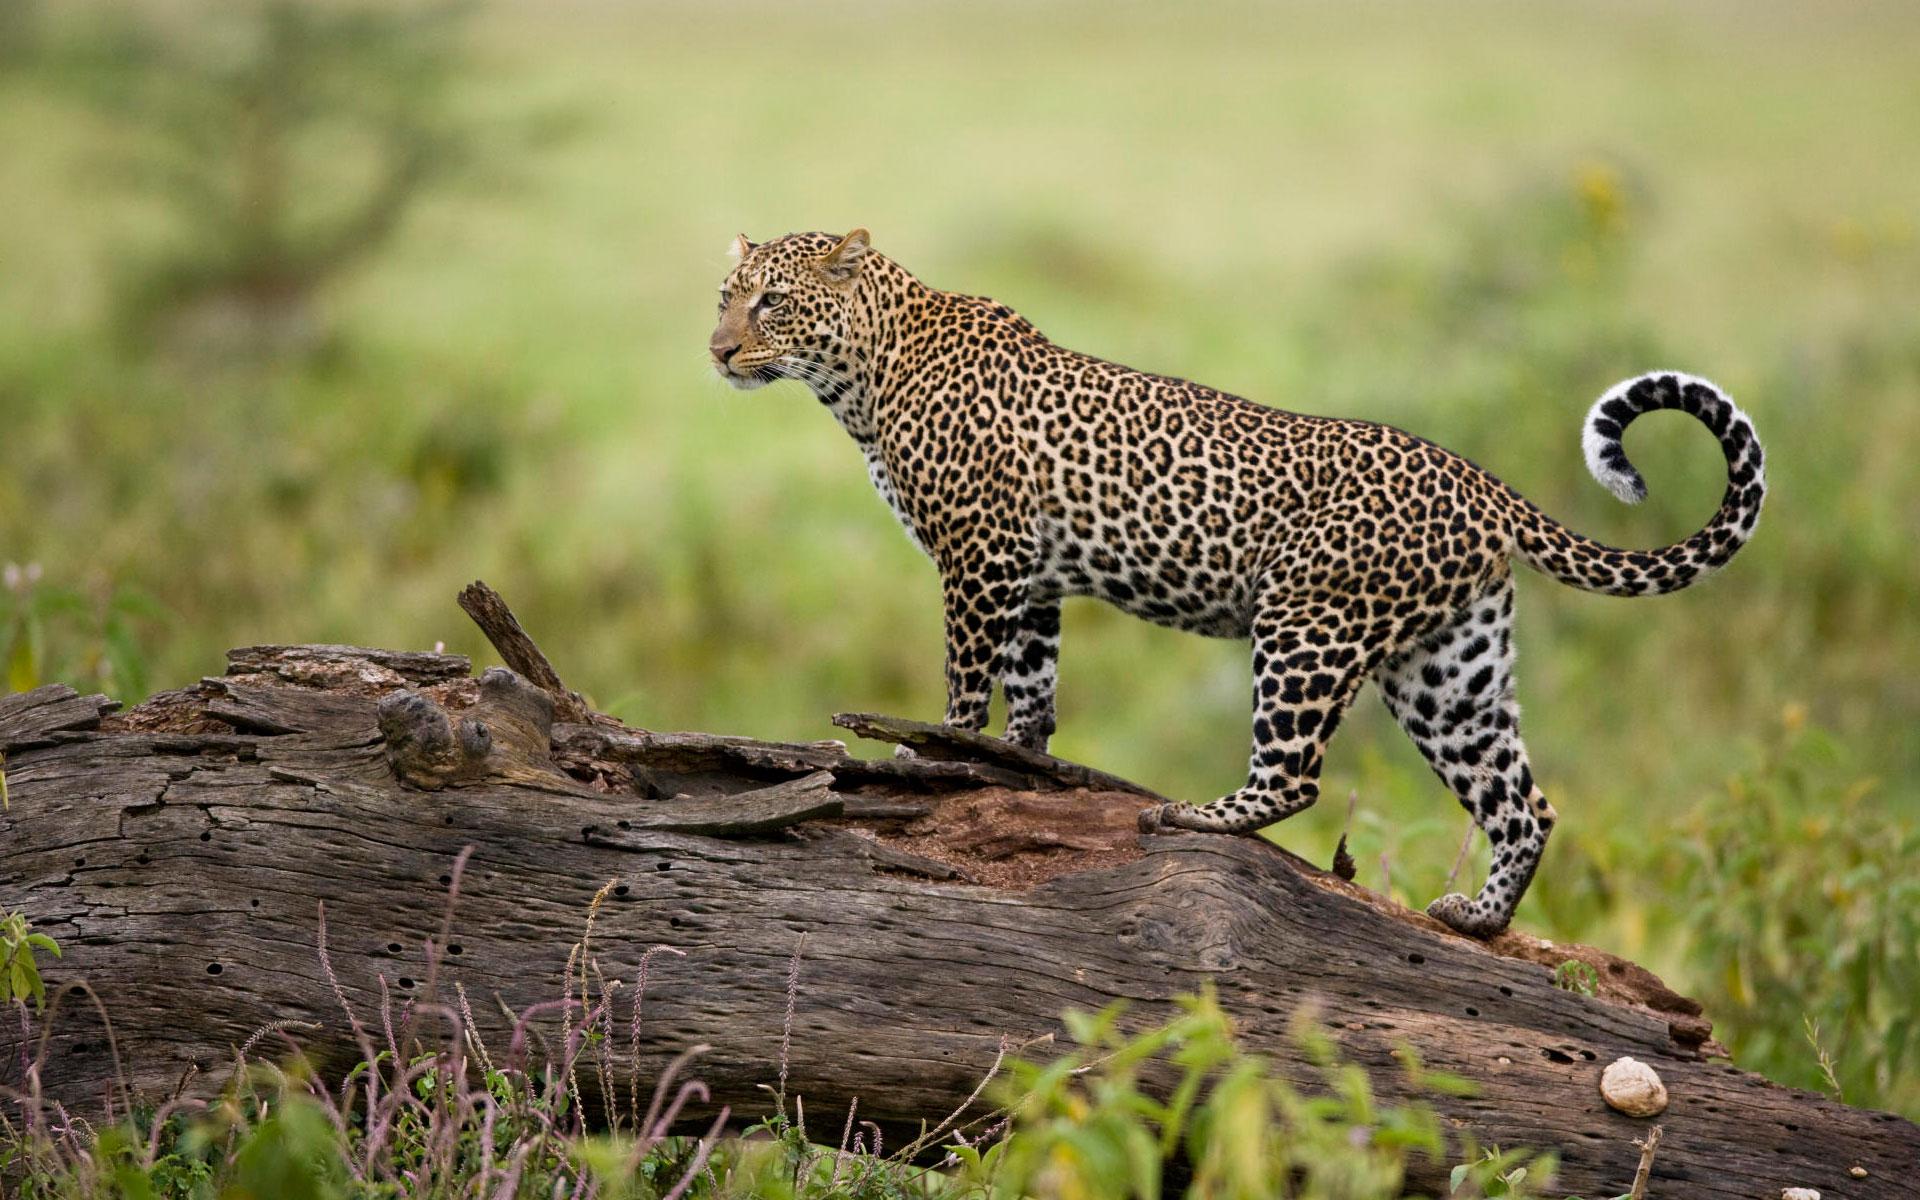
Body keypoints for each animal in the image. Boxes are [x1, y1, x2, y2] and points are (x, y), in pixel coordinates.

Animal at [707, 228, 1766, 938]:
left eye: (772, 303)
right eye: (724, 295)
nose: (718, 351)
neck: (861, 376)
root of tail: (1481, 482)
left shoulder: (979, 557)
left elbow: (967, 683)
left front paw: (929, 761)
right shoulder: (1032, 576)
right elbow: (1034, 690)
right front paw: (1017, 764)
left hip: (1306, 625)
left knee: (1296, 776)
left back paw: (1195, 813)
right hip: (1448, 670)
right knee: (1522, 803)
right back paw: (1479, 918)